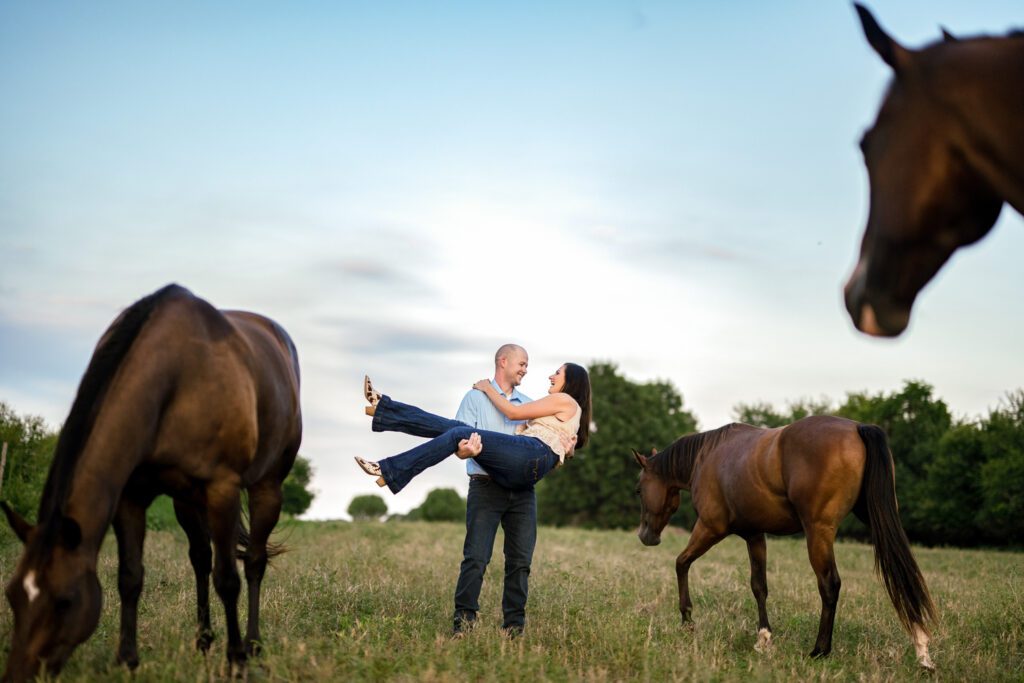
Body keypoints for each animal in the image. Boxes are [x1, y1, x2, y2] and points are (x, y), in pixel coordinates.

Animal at [0, 284, 301, 683]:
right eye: (11, 595)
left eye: (65, 600)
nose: (18, 675)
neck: (175, 375)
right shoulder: (131, 495)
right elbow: (130, 576)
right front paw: (127, 660)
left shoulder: (222, 489)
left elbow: (228, 579)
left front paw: (236, 661)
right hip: (186, 500)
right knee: (200, 559)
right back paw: (203, 642)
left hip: (266, 486)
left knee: (252, 562)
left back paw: (252, 645)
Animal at [634, 413, 937, 671]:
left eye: (638, 489)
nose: (645, 536)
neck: (706, 457)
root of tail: (857, 427)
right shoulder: (754, 535)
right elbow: (759, 586)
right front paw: (763, 638)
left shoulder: (710, 528)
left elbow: (681, 563)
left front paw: (687, 621)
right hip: (878, 517)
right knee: (904, 574)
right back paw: (922, 650)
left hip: (818, 532)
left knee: (830, 585)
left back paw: (820, 650)